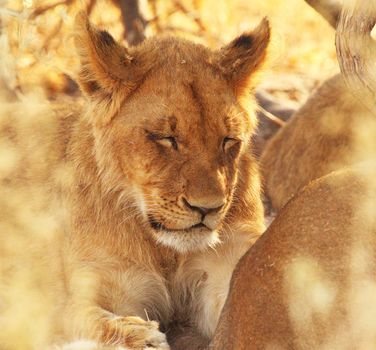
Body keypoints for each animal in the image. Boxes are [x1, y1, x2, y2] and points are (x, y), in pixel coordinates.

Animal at [0, 11, 270, 350]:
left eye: (228, 140)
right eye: (166, 138)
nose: (207, 209)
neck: (164, 251)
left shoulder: (225, 265)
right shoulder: (96, 286)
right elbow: (87, 318)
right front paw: (142, 336)